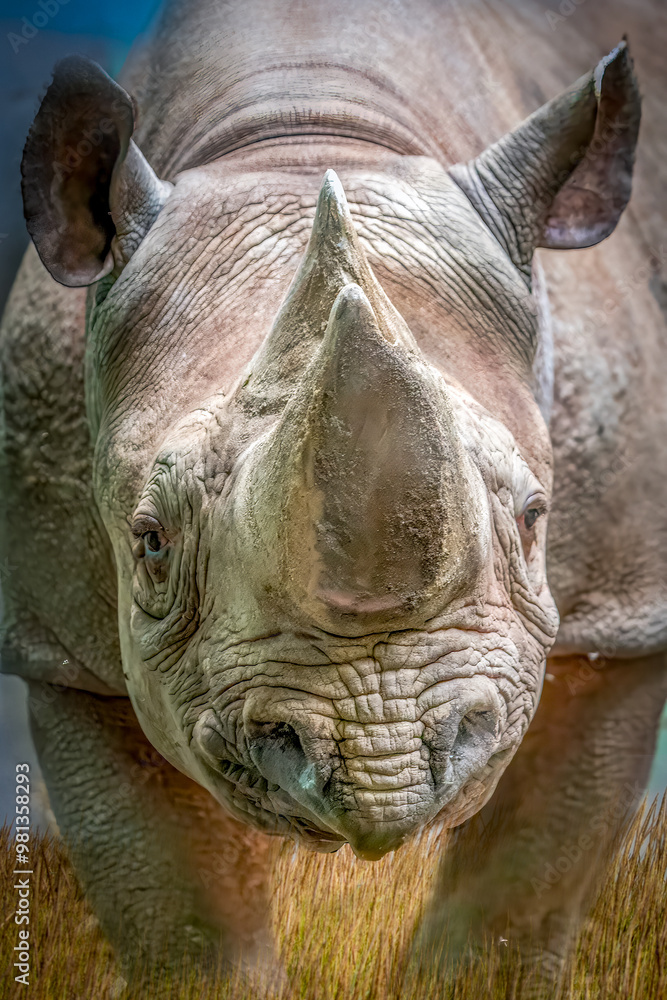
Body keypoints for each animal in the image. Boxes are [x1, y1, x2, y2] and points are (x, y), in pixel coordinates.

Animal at [2, 0, 666, 990]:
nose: (381, 762)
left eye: (532, 519)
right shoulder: (59, 643)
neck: (309, 125)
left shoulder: (623, 610)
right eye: (150, 542)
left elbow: (523, 885)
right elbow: (181, 917)